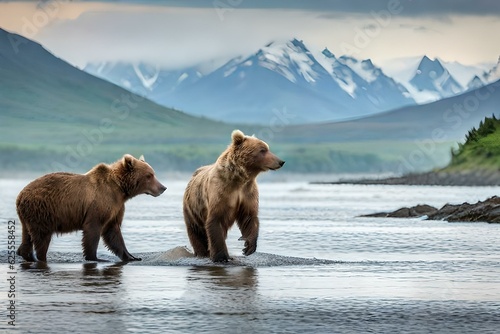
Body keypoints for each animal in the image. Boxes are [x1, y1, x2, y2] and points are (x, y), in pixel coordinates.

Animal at [16, 155, 166, 264]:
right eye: (149, 175)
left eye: (153, 173)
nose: (163, 187)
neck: (120, 189)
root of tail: (20, 196)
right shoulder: (100, 203)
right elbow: (93, 229)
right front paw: (96, 257)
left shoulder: (116, 207)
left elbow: (113, 232)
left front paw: (132, 256)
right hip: (43, 210)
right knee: (42, 237)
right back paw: (41, 257)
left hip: (29, 217)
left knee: (27, 236)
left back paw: (25, 254)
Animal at [184, 129, 286, 262]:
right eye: (262, 150)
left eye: (267, 148)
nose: (281, 161)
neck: (238, 179)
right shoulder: (221, 191)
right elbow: (215, 221)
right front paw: (221, 256)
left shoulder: (248, 192)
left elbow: (249, 216)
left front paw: (248, 247)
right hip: (193, 209)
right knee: (197, 232)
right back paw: (202, 252)